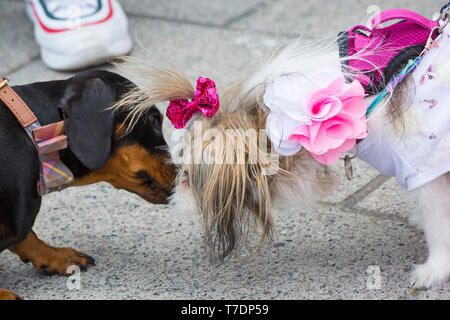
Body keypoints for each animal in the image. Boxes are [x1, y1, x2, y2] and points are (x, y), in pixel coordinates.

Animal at [115, 14, 450, 290]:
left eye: (187, 176)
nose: (171, 196)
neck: (366, 90)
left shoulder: (425, 168)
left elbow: (438, 227)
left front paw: (433, 271)